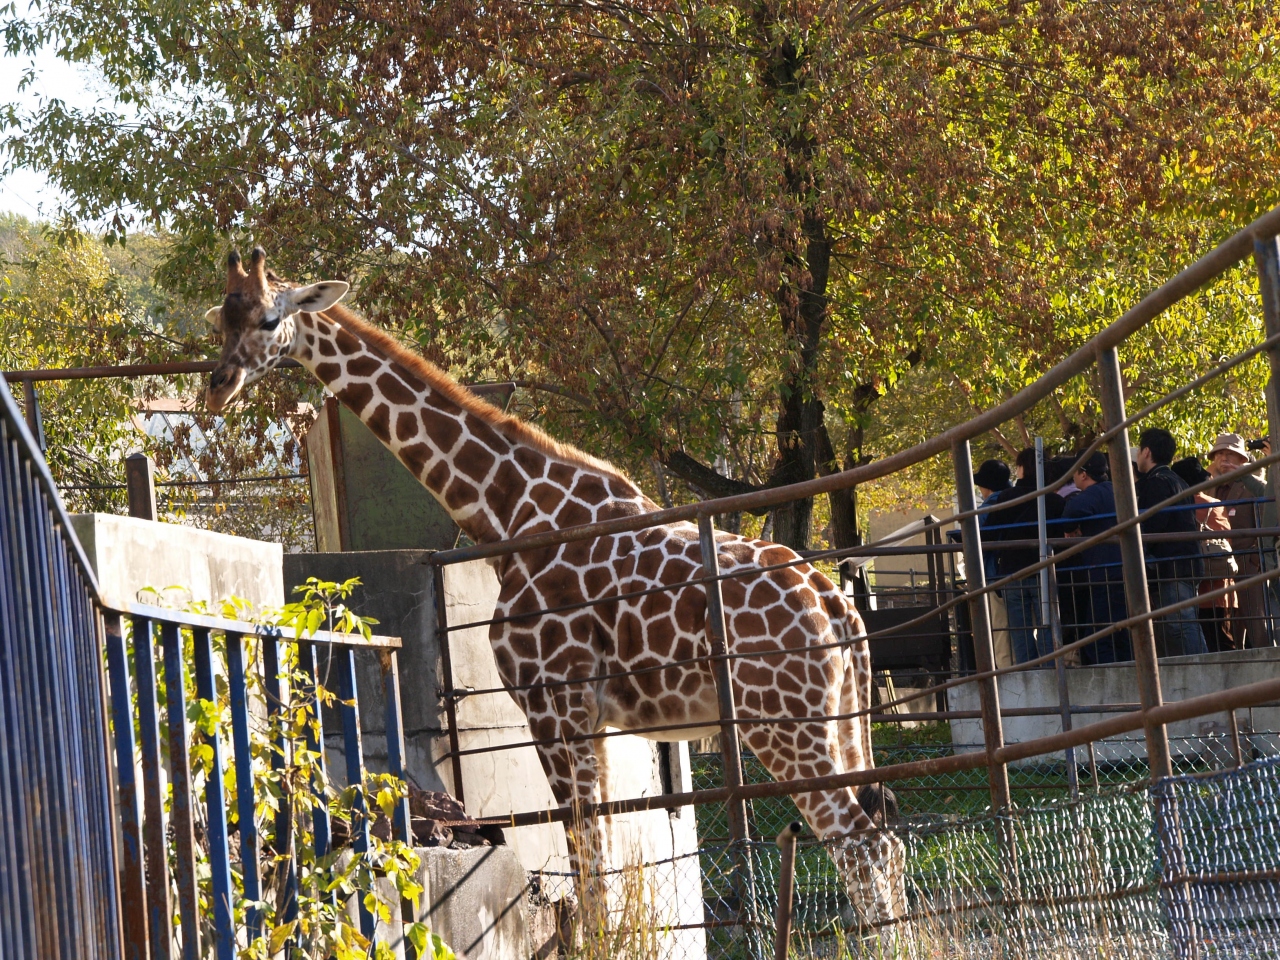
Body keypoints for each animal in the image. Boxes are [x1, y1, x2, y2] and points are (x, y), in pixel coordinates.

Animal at [204, 252, 911, 926]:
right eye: (222, 320)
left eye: (270, 318)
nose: (218, 384)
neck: (507, 509)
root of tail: (838, 605)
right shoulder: (592, 720)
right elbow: (600, 861)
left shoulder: (552, 705)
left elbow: (587, 864)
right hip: (842, 721)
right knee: (884, 839)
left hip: (782, 723)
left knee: (859, 843)